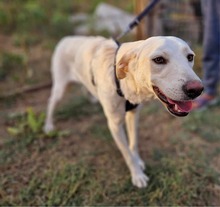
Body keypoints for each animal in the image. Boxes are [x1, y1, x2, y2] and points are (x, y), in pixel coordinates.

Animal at [43, 35, 204, 188]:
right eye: (159, 60)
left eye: (190, 57)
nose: (197, 90)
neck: (125, 81)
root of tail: (67, 38)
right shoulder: (115, 124)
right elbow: (127, 153)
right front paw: (137, 175)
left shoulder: (133, 115)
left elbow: (134, 143)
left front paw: (137, 161)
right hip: (60, 89)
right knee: (51, 103)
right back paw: (48, 126)